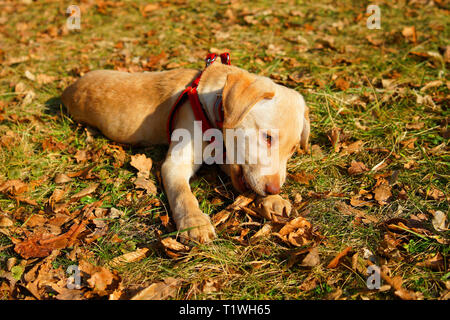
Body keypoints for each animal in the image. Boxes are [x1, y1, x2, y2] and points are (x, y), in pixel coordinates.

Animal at [61, 55, 312, 244]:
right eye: (268, 137)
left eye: (292, 150)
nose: (274, 189)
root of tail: (67, 90)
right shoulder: (176, 162)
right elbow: (183, 193)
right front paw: (194, 222)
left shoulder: (226, 157)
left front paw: (274, 199)